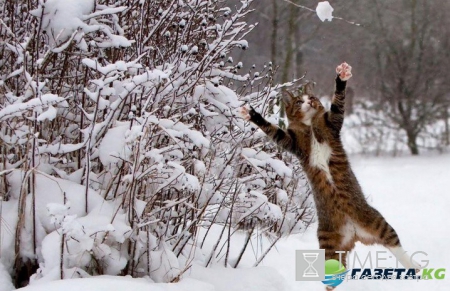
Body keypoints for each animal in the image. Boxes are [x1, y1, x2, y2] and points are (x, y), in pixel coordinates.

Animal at [241, 64, 420, 280]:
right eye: (299, 101)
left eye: (312, 97)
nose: (309, 101)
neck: (310, 125)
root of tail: (354, 233)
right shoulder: (292, 142)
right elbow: (274, 131)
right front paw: (253, 115)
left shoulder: (332, 123)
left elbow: (338, 105)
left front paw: (341, 77)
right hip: (329, 244)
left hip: (377, 221)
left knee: (396, 245)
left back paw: (415, 266)